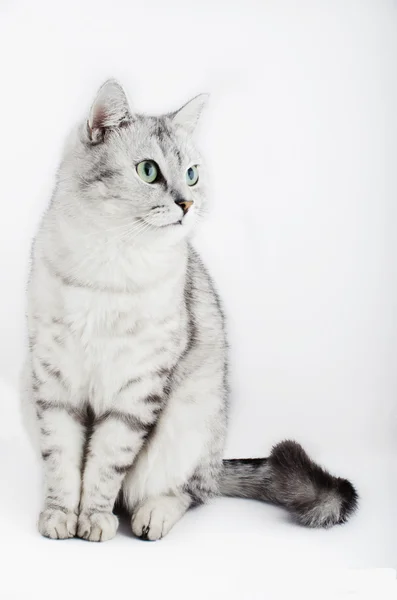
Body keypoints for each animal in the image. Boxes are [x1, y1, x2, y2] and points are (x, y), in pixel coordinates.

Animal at [20, 77, 358, 540]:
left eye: (192, 175)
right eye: (148, 171)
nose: (187, 204)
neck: (109, 261)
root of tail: (215, 463)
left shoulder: (136, 388)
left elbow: (104, 466)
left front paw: (93, 519)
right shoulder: (56, 381)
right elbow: (64, 461)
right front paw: (59, 515)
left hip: (189, 425)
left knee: (189, 492)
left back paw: (153, 514)